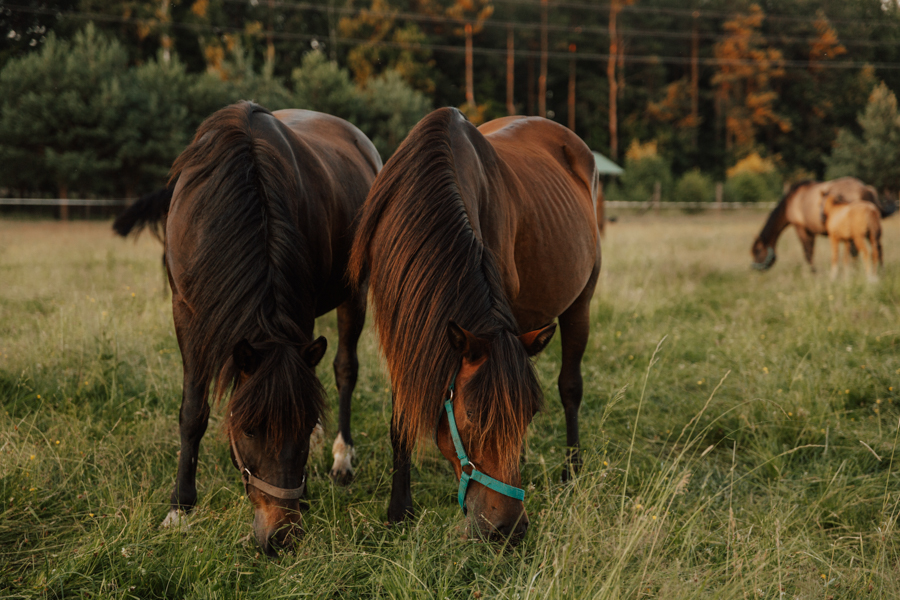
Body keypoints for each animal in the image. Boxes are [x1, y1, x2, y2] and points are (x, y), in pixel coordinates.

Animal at [162, 101, 380, 556]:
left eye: (298, 427)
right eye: (249, 429)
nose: (281, 537)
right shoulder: (186, 311)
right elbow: (193, 411)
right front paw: (180, 508)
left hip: (355, 291)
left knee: (344, 370)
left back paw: (341, 458)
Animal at [348, 108, 600, 544]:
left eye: (530, 415)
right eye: (474, 417)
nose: (509, 528)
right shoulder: (401, 328)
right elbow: (400, 418)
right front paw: (399, 510)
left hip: (579, 305)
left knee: (571, 387)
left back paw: (572, 470)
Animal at [748, 177, 888, 270]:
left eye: (757, 251)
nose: (755, 267)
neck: (792, 200)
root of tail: (866, 189)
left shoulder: (801, 229)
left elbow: (808, 253)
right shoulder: (812, 232)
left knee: (856, 251)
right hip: (872, 230)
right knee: (877, 248)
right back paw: (879, 271)